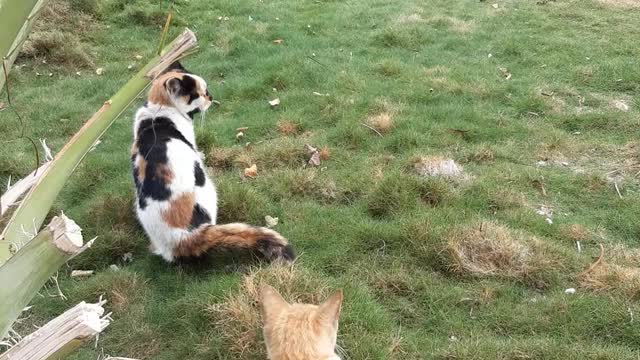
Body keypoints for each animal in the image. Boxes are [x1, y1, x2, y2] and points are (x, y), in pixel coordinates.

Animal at [133, 62, 298, 262]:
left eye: (206, 91)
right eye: (200, 93)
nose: (210, 97)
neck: (158, 111)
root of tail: (181, 238)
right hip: (207, 186)